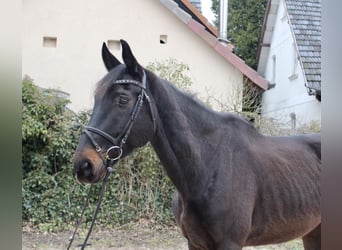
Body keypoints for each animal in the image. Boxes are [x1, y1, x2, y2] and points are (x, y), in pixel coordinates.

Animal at [73, 40, 320, 249]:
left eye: (122, 100)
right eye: (96, 99)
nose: (83, 165)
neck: (208, 168)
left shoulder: (230, 243)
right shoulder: (195, 242)